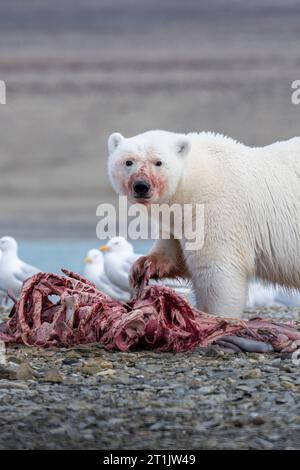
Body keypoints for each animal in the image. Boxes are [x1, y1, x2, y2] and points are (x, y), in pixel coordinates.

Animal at [107, 130, 300, 318]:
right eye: (128, 161)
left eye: (158, 162)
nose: (141, 186)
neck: (196, 178)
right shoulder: (177, 220)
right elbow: (173, 251)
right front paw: (142, 265)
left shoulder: (217, 209)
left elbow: (216, 272)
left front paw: (214, 318)